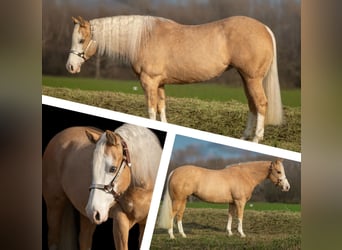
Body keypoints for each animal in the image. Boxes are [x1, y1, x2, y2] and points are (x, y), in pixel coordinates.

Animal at [67, 15, 284, 144]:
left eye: (81, 40)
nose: (70, 67)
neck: (143, 38)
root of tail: (265, 28)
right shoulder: (160, 83)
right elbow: (162, 109)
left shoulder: (149, 82)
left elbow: (151, 110)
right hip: (246, 78)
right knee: (252, 104)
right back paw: (245, 136)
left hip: (252, 78)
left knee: (261, 103)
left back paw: (256, 139)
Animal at [157, 160, 288, 238]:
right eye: (278, 171)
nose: (287, 187)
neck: (244, 175)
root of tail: (175, 171)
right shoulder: (240, 202)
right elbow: (240, 216)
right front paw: (241, 233)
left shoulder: (232, 202)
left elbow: (230, 215)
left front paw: (229, 232)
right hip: (178, 200)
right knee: (172, 214)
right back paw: (172, 235)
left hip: (183, 200)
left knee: (179, 215)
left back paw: (183, 234)